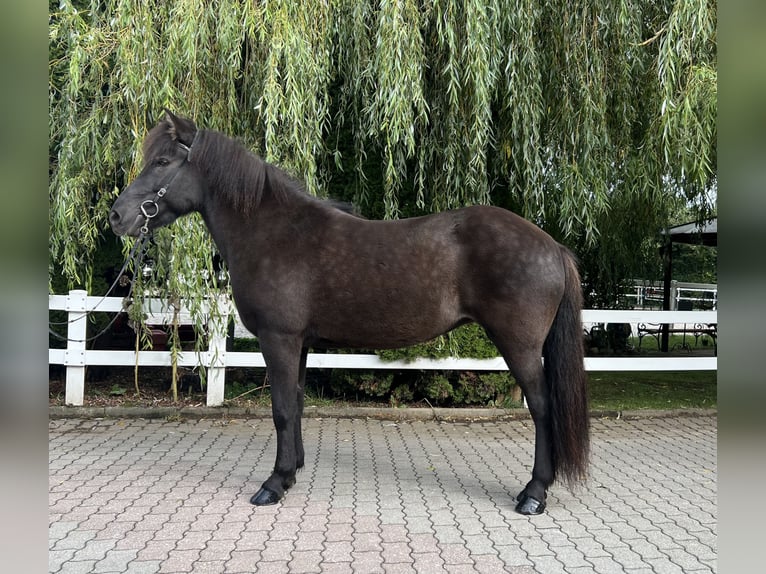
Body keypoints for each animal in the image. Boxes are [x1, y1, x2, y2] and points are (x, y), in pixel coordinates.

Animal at [108, 110, 592, 516]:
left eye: (163, 161)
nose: (116, 216)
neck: (273, 233)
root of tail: (552, 246)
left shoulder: (278, 339)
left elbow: (280, 409)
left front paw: (273, 484)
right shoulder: (299, 343)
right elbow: (296, 402)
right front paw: (293, 471)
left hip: (520, 346)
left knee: (542, 408)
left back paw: (533, 494)